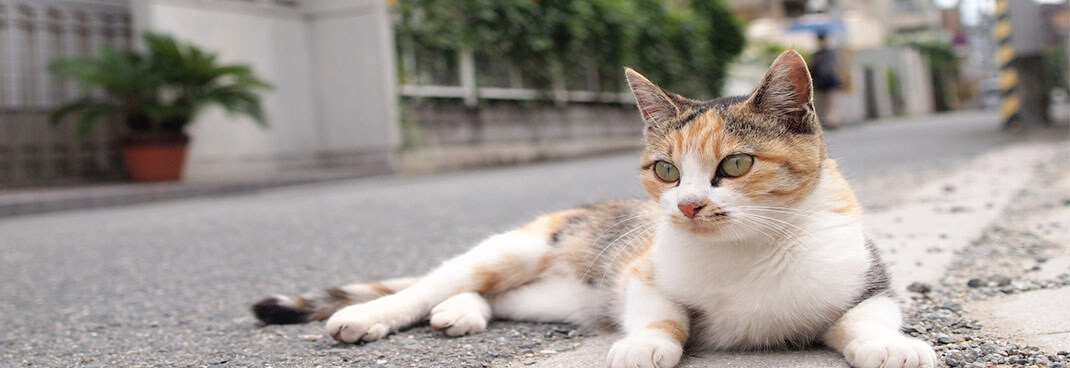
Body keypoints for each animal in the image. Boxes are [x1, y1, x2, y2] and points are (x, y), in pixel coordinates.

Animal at [252, 49, 937, 368]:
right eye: (666, 170)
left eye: (737, 165)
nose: (688, 206)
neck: (749, 251)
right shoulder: (640, 272)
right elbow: (664, 314)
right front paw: (647, 344)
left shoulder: (870, 281)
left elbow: (869, 316)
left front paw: (891, 346)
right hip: (523, 246)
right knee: (433, 283)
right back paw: (374, 314)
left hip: (549, 295)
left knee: (496, 296)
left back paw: (462, 313)